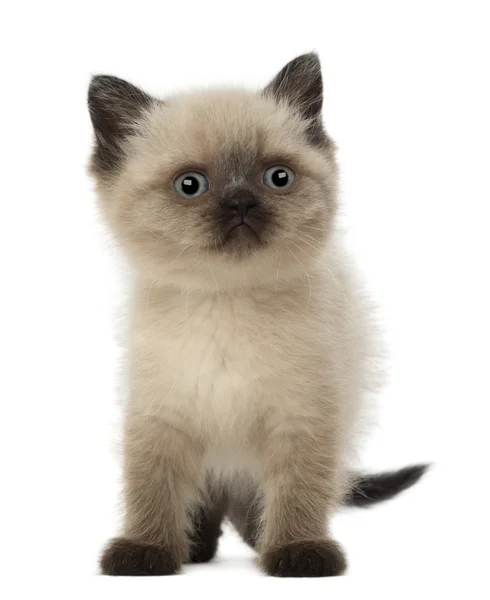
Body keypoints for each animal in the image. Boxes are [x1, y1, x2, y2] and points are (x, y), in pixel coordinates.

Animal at [90, 55, 426, 576]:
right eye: (191, 185)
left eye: (277, 178)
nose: (241, 202)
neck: (226, 303)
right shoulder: (161, 418)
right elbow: (152, 491)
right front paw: (145, 552)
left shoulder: (301, 418)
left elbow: (298, 492)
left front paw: (299, 553)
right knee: (208, 504)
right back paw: (195, 548)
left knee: (256, 504)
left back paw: (256, 541)